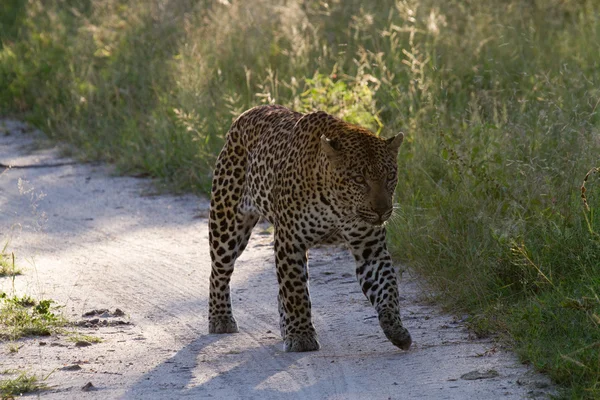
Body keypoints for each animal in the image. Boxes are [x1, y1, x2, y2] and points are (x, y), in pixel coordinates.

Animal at [207, 104, 412, 352]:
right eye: (359, 179)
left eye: (390, 176)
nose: (383, 210)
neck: (339, 206)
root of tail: (248, 112)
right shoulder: (290, 240)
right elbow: (295, 291)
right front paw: (301, 337)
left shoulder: (370, 248)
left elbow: (387, 287)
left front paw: (396, 328)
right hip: (227, 224)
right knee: (219, 272)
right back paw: (220, 318)